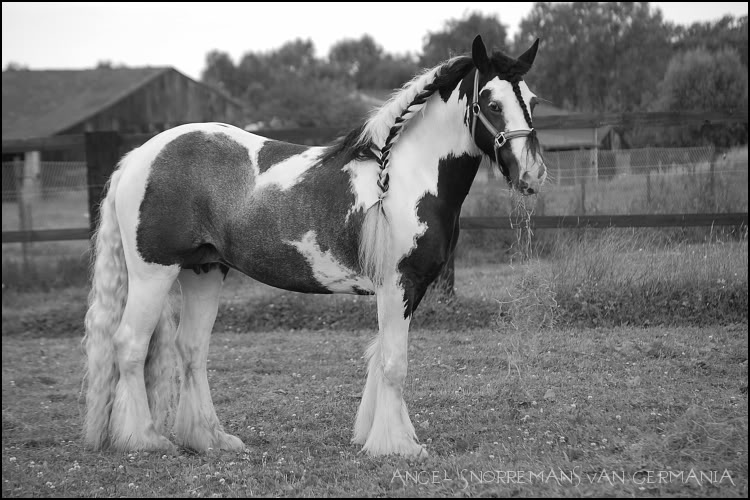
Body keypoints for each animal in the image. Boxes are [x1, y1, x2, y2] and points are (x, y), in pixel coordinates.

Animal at [85, 34, 548, 458]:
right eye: (491, 103)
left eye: (532, 100)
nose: (532, 173)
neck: (405, 178)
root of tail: (138, 157)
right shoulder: (398, 285)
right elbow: (394, 363)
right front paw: (398, 446)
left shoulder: (407, 290)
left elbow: (379, 358)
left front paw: (375, 436)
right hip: (153, 272)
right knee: (130, 345)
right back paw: (144, 440)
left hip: (204, 271)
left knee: (191, 349)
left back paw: (210, 438)